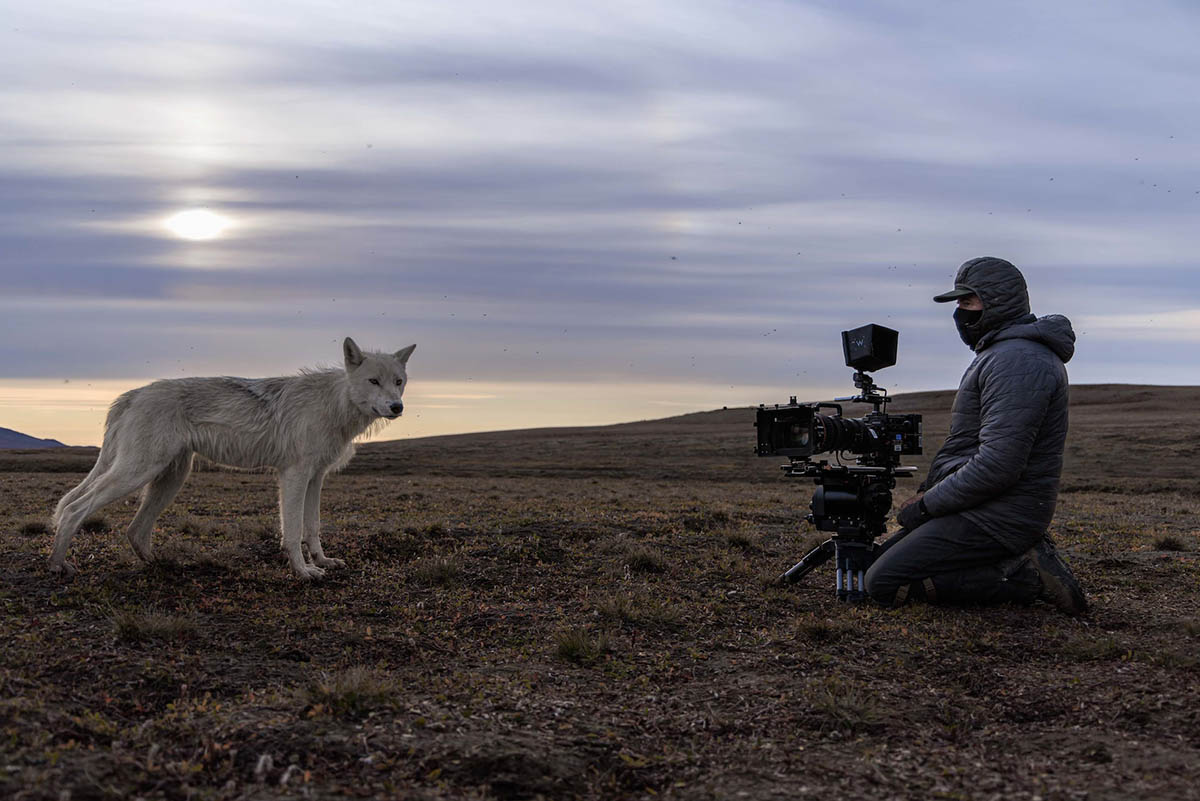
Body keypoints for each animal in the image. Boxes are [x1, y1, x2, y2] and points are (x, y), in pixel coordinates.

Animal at [50, 335, 417, 577]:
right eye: (373, 381)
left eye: (399, 381)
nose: (397, 407)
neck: (335, 405)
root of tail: (133, 393)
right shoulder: (294, 476)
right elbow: (292, 531)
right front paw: (303, 572)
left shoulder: (316, 478)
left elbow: (312, 527)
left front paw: (322, 562)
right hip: (137, 473)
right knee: (74, 509)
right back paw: (58, 565)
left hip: (169, 479)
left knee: (135, 530)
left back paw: (160, 565)